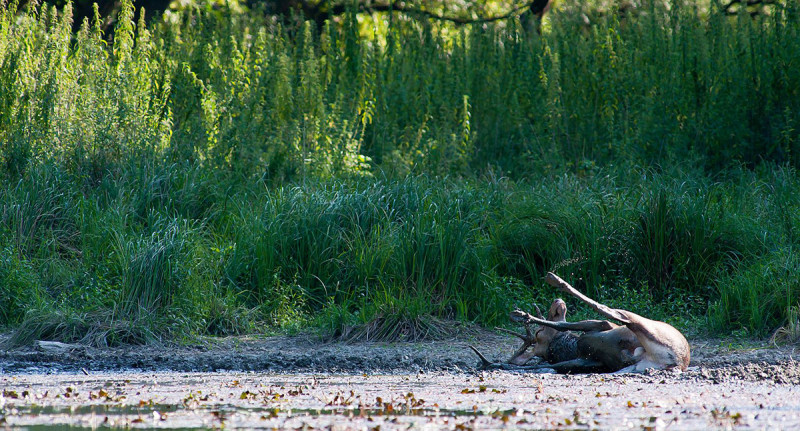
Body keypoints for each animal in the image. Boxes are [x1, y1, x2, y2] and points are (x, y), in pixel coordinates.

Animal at [472, 274, 692, 374]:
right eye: (539, 332)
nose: (557, 302)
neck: (571, 346)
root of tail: (677, 362)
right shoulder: (594, 360)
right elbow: (550, 364)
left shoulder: (603, 326)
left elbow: (565, 326)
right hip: (636, 354)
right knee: (610, 310)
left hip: (636, 324)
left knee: (608, 309)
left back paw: (554, 281)